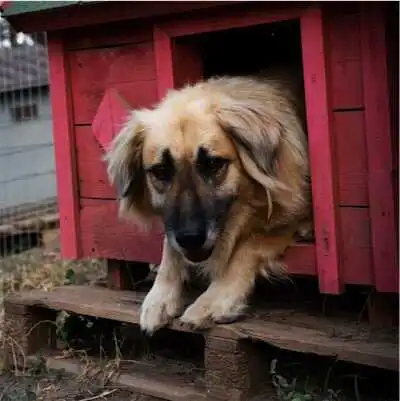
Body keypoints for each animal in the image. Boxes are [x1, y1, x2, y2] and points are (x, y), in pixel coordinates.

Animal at [105, 72, 312, 334]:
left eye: (213, 164)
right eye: (160, 171)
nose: (191, 238)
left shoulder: (286, 216)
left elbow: (246, 247)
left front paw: (212, 300)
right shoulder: (174, 226)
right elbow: (169, 247)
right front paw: (160, 296)